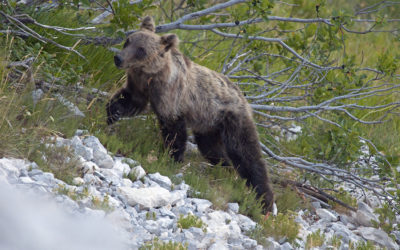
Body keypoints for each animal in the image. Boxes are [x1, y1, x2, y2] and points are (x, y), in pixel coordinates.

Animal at [106, 16, 276, 211]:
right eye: (128, 41)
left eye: (141, 50)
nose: (118, 58)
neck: (151, 75)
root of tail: (244, 97)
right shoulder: (139, 85)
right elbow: (129, 101)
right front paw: (111, 115)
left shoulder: (172, 96)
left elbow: (174, 129)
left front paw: (173, 158)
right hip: (208, 125)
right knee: (213, 150)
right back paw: (225, 170)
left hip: (233, 119)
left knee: (246, 153)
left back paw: (264, 200)